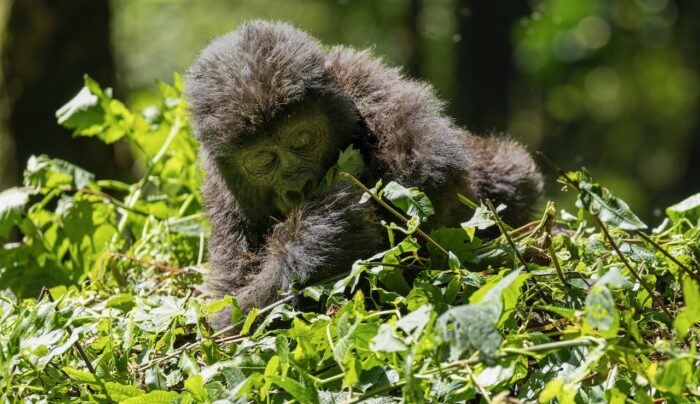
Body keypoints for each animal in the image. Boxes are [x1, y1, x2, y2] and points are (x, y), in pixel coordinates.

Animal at [186, 20, 543, 329]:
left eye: (302, 140)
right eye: (263, 160)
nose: (298, 187)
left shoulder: (365, 81)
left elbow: (431, 168)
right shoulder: (224, 200)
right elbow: (230, 312)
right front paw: (324, 233)